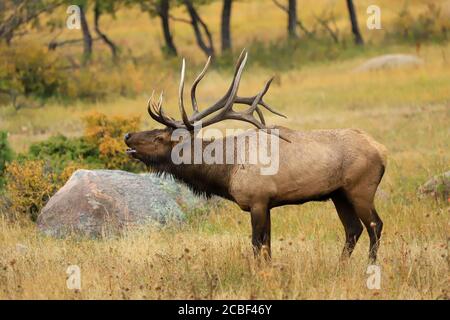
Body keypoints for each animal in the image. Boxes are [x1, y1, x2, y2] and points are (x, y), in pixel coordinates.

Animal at [125, 50, 388, 262]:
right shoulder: (266, 203)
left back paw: (370, 266)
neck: (226, 171)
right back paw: (339, 266)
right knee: (353, 230)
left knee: (375, 225)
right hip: (338, 194)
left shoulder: (258, 200)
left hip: (361, 188)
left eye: (159, 137)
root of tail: (382, 151)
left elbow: (256, 245)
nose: (127, 136)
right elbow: (267, 246)